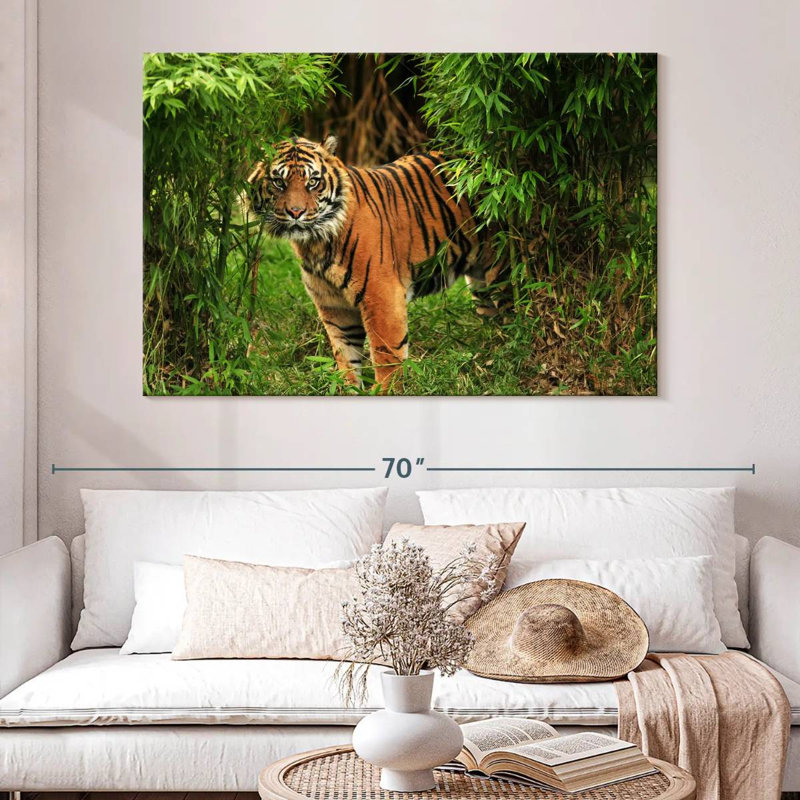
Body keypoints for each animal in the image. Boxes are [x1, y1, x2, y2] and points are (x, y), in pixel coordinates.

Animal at [247, 135, 502, 391]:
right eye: (278, 182)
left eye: (313, 182)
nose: (295, 212)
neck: (315, 243)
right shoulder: (334, 305)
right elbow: (345, 355)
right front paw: (348, 390)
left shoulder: (382, 296)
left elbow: (387, 354)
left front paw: (386, 391)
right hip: (481, 284)